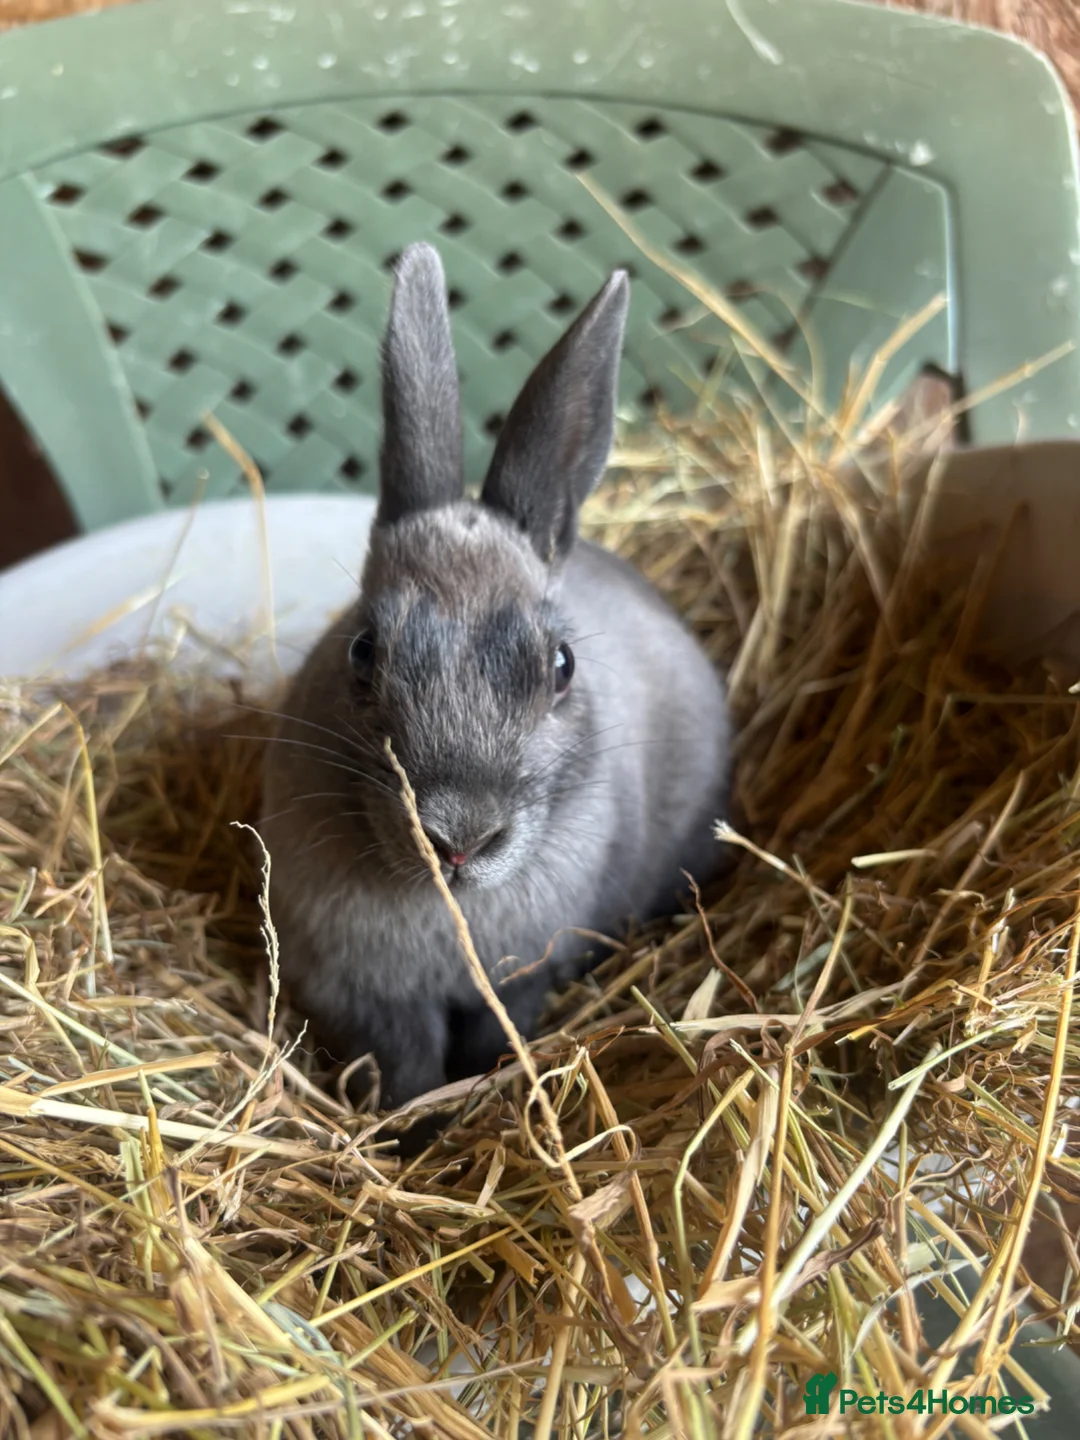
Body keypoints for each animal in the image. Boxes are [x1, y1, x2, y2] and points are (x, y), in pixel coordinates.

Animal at [260, 241, 730, 1120]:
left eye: (562, 665)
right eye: (362, 652)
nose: (459, 839)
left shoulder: (517, 985)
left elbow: (489, 1040)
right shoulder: (375, 1003)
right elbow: (405, 1070)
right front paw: (413, 1132)